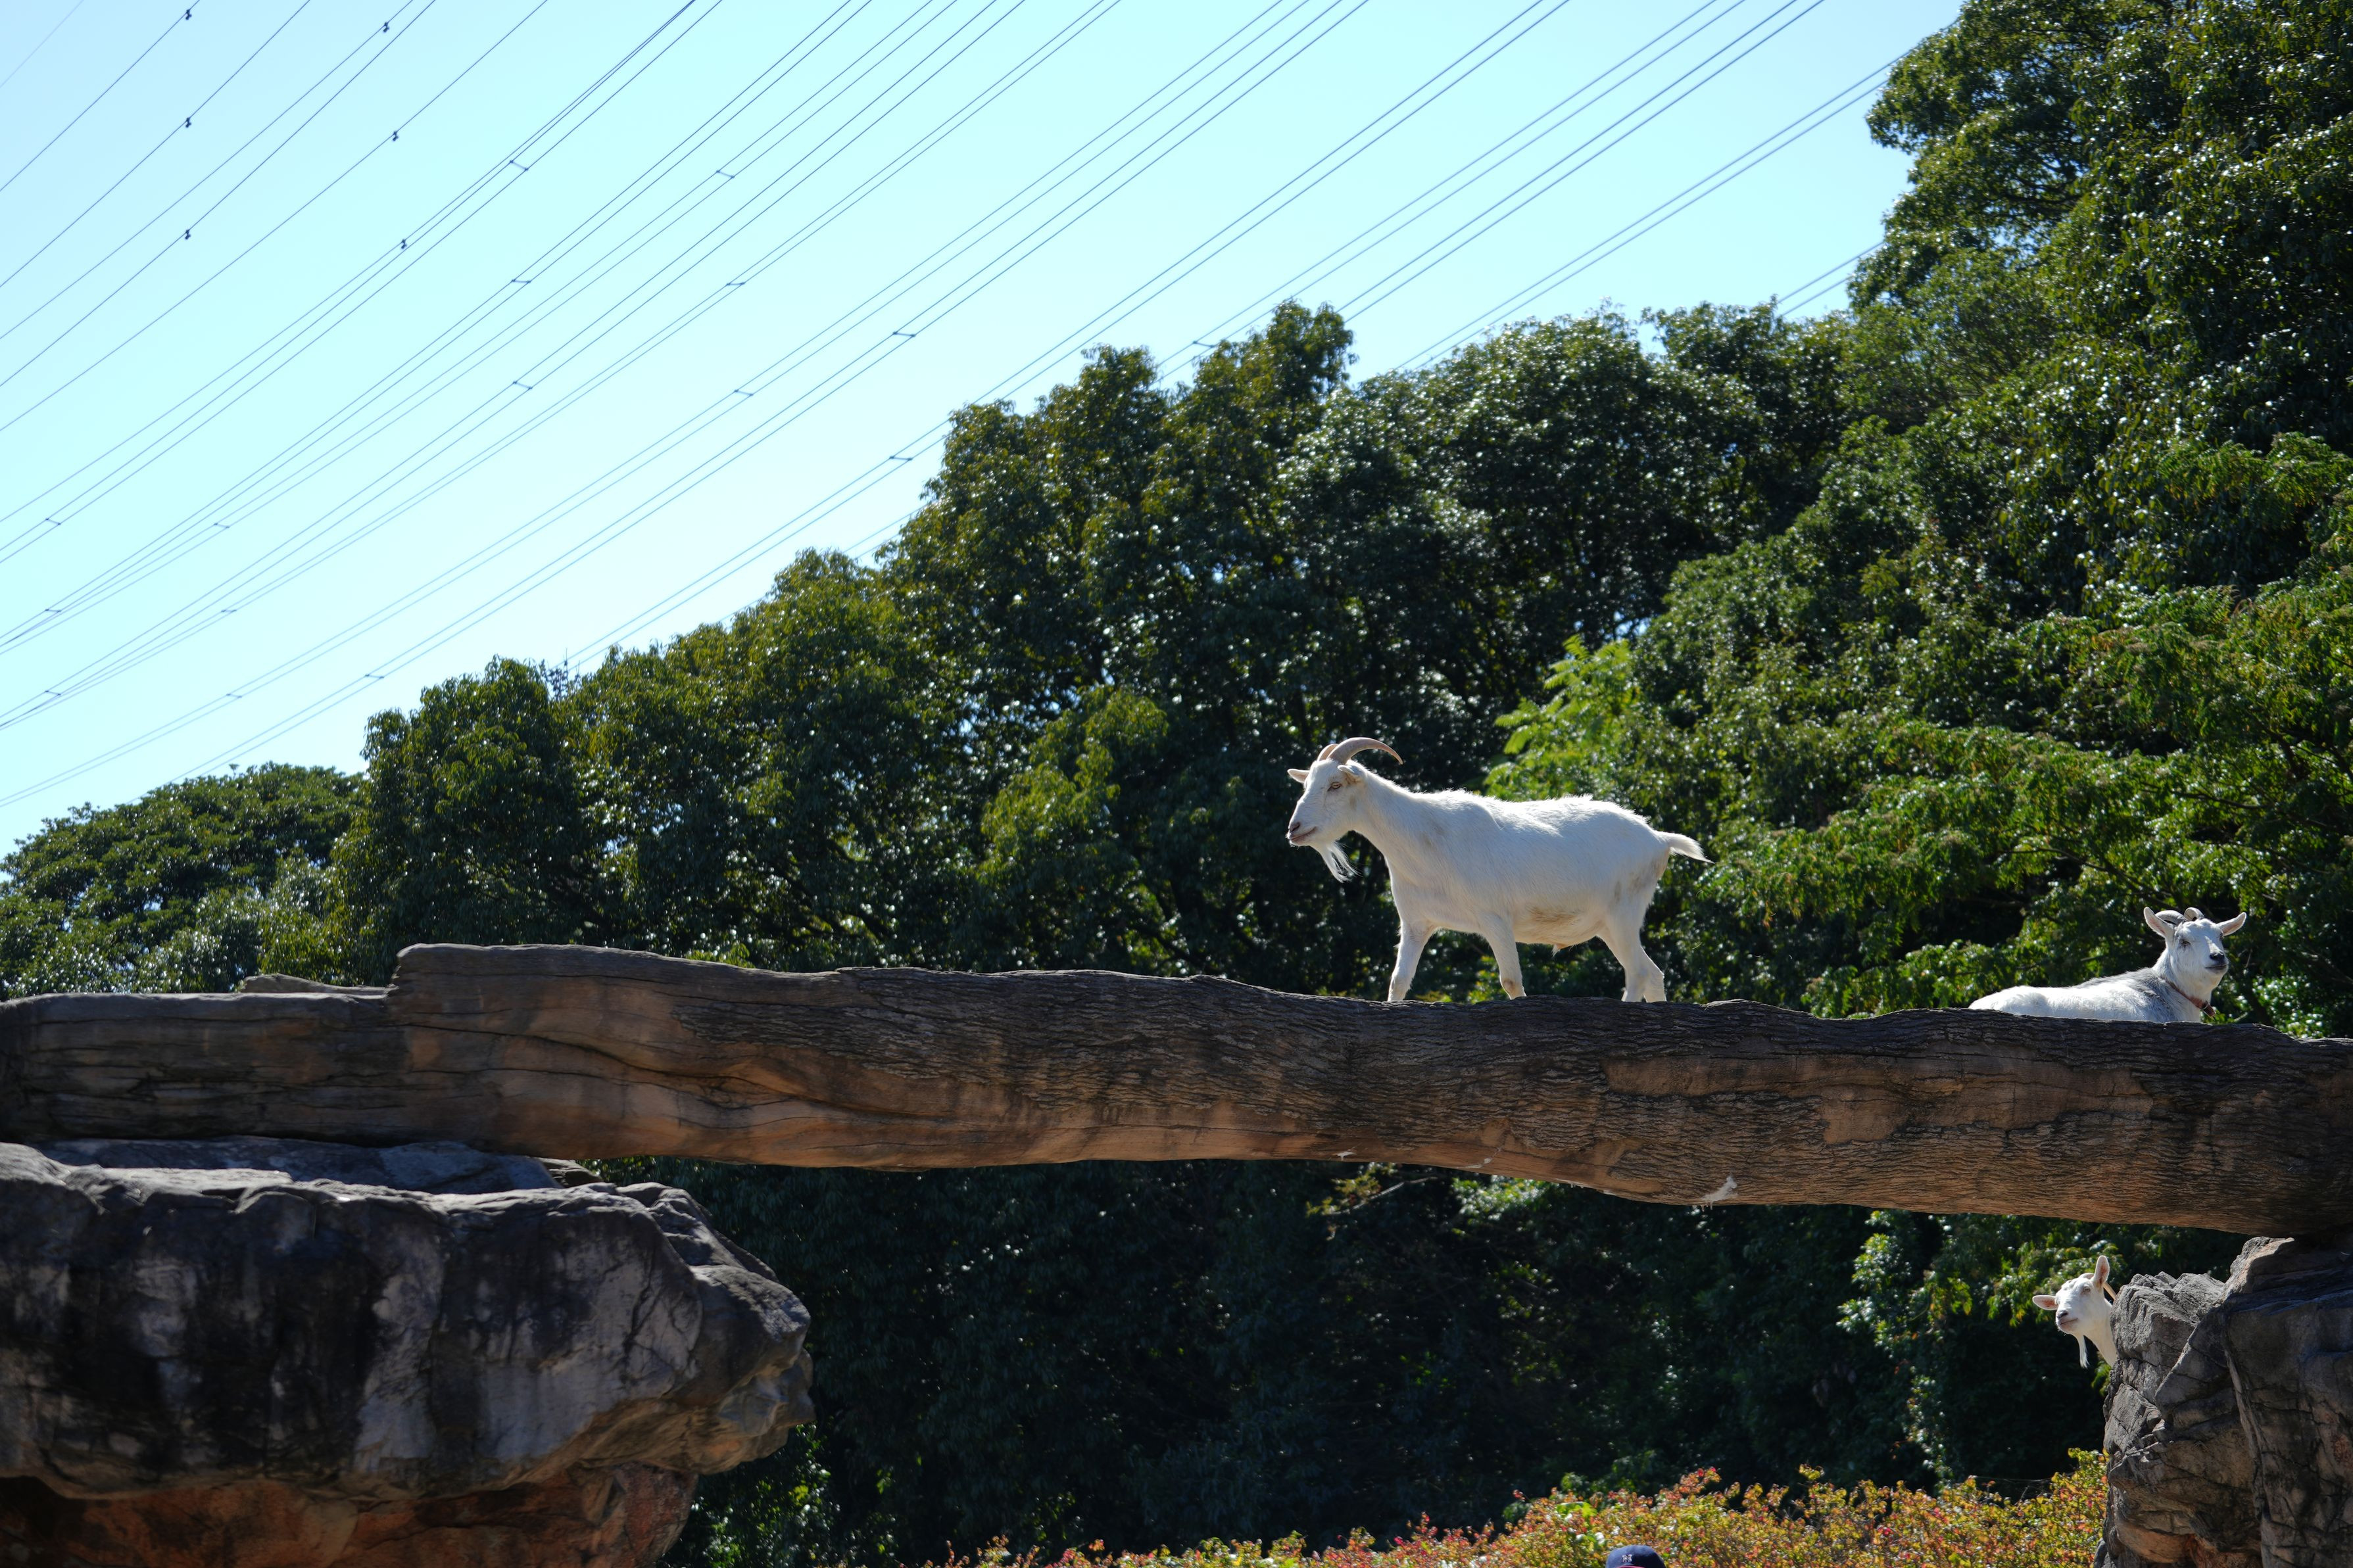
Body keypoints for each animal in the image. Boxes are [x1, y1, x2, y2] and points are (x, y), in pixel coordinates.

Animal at [1284, 737, 1707, 1003]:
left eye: (1335, 785)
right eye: (1308, 784)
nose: (1294, 828)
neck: (1425, 838)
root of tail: (1658, 839)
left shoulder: (1495, 919)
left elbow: (1511, 981)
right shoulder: (1418, 922)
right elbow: (1398, 982)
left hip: (1623, 914)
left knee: (1638, 973)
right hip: (1610, 925)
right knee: (1654, 973)